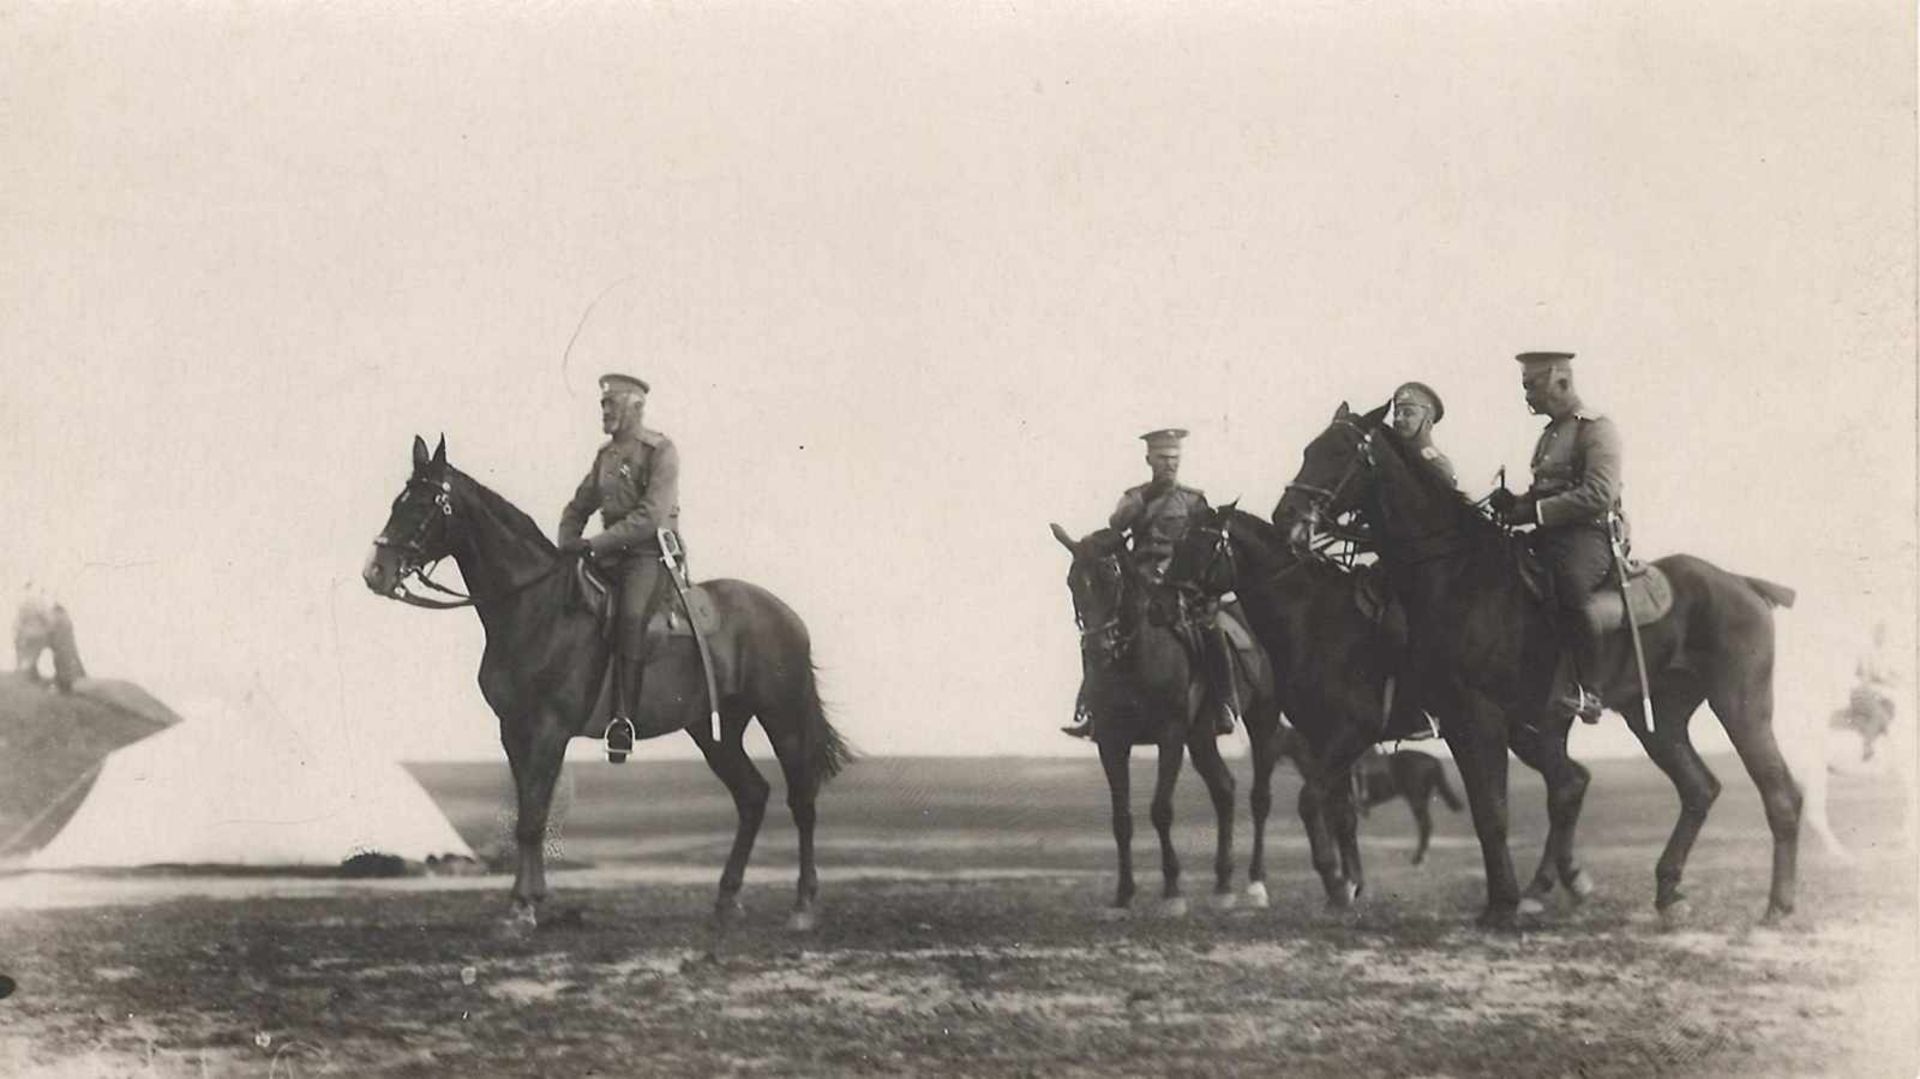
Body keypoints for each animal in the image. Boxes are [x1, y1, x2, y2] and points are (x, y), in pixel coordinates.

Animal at [362, 431, 852, 929]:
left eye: (424, 505)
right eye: (397, 501)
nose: (375, 572)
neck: (537, 608)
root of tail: (786, 615)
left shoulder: (549, 729)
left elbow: (532, 818)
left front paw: (522, 906)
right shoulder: (514, 731)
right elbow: (529, 813)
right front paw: (532, 897)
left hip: (783, 718)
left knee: (802, 801)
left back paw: (802, 905)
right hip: (715, 730)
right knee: (752, 796)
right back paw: (727, 898)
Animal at [1044, 526, 1282, 910]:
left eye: (1111, 578)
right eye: (1072, 582)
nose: (1096, 648)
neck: (1135, 659)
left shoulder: (1170, 737)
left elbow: (1161, 810)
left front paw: (1172, 891)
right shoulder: (1111, 742)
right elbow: (1122, 819)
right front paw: (1124, 892)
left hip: (1263, 721)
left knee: (1259, 797)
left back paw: (1255, 883)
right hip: (1200, 738)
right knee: (1224, 789)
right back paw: (1222, 884)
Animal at [1274, 403, 1797, 925]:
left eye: (1338, 452)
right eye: (1307, 450)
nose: (1287, 519)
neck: (1457, 575)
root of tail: (1744, 584)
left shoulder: (1480, 716)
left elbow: (1494, 812)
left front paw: (1503, 905)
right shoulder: (1459, 721)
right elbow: (1486, 812)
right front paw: (1501, 900)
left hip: (1741, 708)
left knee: (1779, 794)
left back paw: (1779, 905)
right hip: (1657, 719)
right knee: (1697, 789)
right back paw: (1667, 890)